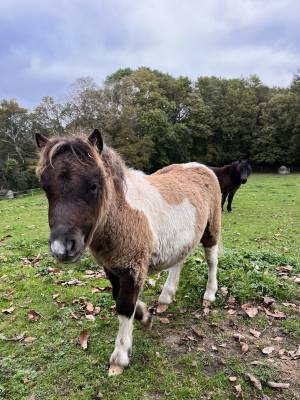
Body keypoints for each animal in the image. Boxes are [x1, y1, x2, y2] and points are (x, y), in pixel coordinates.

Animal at [35, 130, 223, 376]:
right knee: (179, 260)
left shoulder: (133, 266)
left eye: (94, 185)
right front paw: (145, 316)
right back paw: (166, 297)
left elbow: (125, 305)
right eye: (45, 187)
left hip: (212, 227)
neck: (121, 214)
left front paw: (120, 357)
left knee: (211, 260)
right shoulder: (111, 266)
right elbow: (119, 298)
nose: (62, 248)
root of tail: (200, 166)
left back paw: (209, 294)